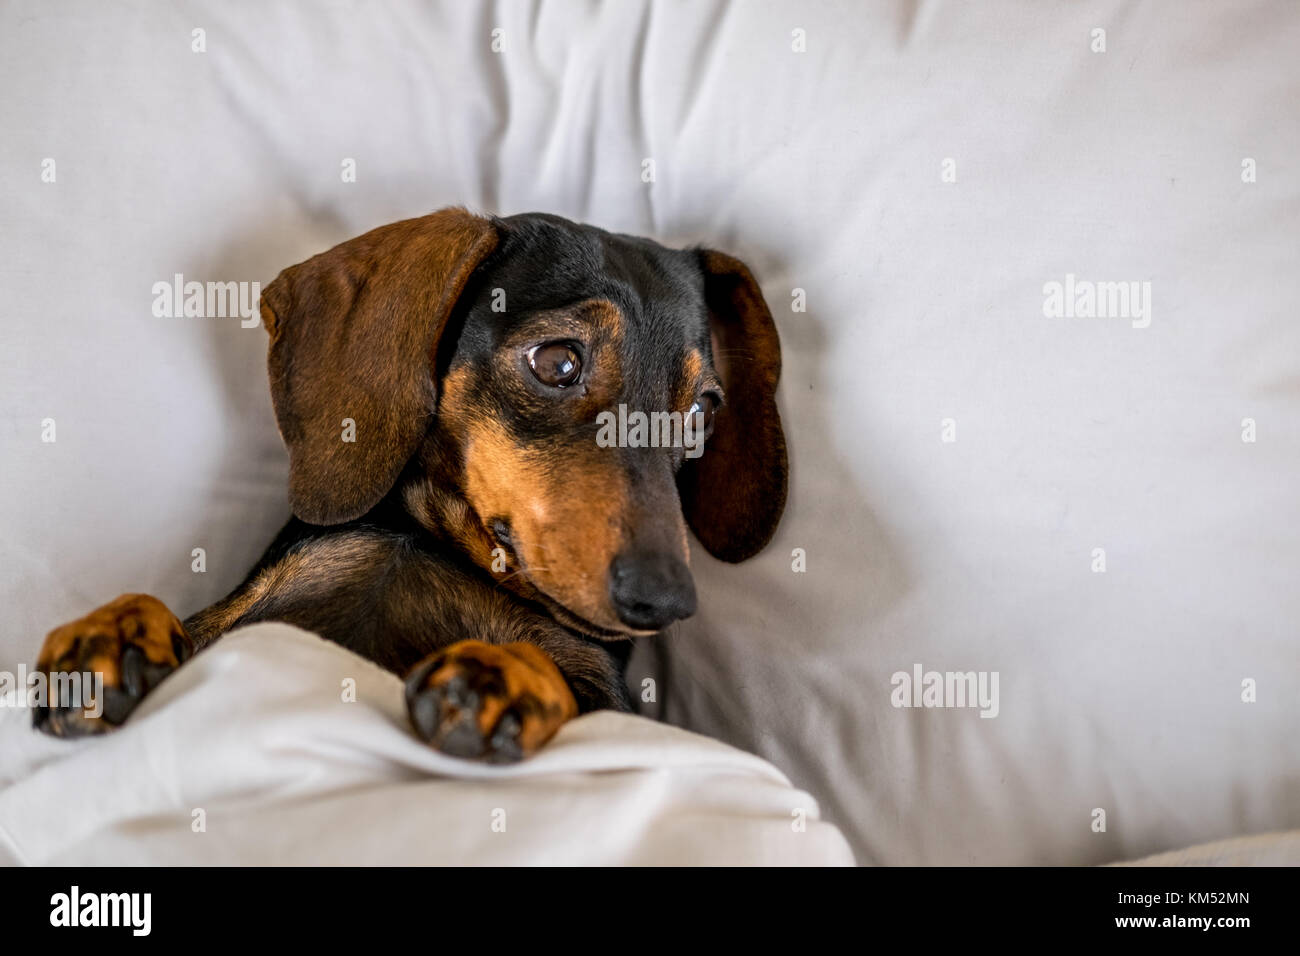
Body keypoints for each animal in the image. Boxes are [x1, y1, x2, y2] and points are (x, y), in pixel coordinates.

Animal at [30, 208, 785, 764]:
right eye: (557, 362)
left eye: (703, 410)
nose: (665, 600)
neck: (436, 547)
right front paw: (114, 629)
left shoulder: (616, 704)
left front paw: (506, 671)